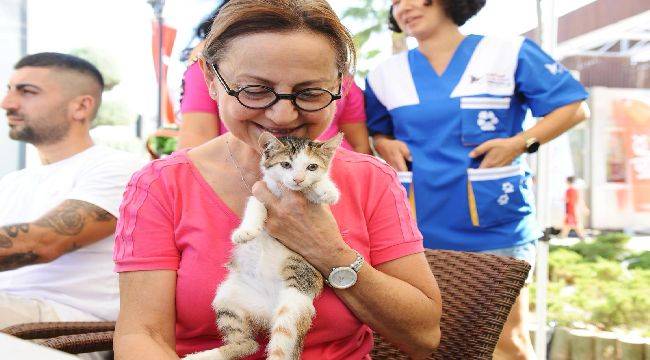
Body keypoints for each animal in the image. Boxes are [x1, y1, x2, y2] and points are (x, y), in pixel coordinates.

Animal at [184, 132, 342, 360]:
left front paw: (325, 189)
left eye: (311, 167)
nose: (297, 179)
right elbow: (255, 205)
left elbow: (314, 188)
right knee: (248, 344)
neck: (286, 192)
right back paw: (202, 355)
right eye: (286, 164)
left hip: (293, 304)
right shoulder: (260, 192)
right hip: (227, 297)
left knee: (280, 345)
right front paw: (246, 231)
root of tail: (268, 313)